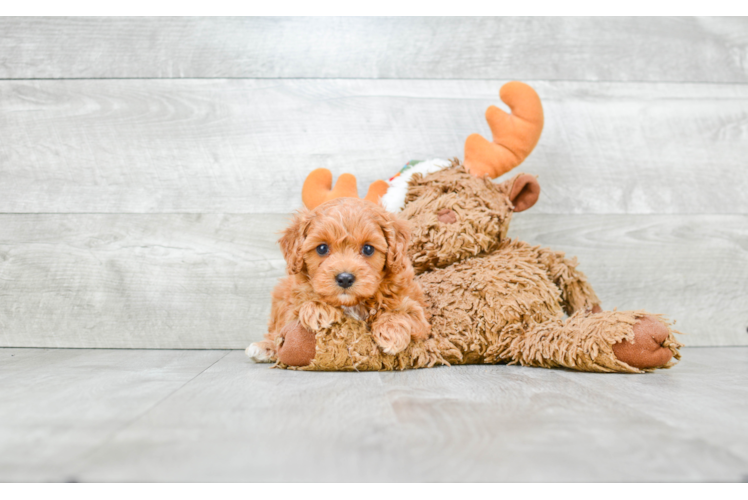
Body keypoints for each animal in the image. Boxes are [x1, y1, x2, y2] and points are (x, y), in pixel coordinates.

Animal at [248, 196, 430, 364]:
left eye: (368, 249)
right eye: (322, 248)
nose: (345, 278)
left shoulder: (417, 309)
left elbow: (405, 311)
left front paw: (391, 331)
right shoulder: (293, 301)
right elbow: (301, 305)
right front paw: (318, 308)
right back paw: (264, 347)